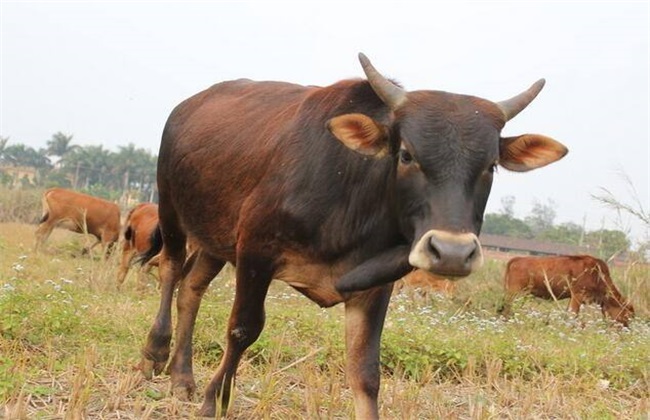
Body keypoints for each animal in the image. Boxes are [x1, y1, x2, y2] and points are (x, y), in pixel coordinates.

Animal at [138, 52, 568, 416]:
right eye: (406, 154)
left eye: (491, 165)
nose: (451, 252)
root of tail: (189, 104)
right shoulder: (256, 252)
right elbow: (242, 329)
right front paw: (215, 400)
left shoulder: (375, 284)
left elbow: (365, 371)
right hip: (171, 208)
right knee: (171, 269)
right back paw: (155, 354)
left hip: (216, 237)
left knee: (192, 287)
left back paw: (182, 378)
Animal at [498, 254, 632, 326]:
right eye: (626, 316)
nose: (626, 328)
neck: (598, 274)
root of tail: (517, 259)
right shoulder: (577, 295)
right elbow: (574, 314)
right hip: (514, 293)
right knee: (507, 309)